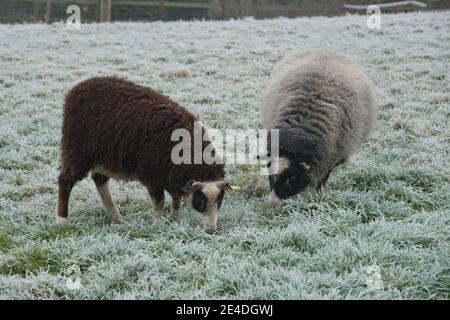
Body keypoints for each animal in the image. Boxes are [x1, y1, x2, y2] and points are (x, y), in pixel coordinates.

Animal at [57, 77, 230, 232]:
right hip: (77, 152)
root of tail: (78, 88)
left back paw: (116, 216)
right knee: (65, 181)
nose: (211, 230)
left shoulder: (170, 176)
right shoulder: (153, 176)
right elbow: (160, 202)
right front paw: (156, 225)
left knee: (100, 180)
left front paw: (174, 218)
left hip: (104, 158)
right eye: (200, 201)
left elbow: (175, 200)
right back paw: (62, 220)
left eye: (220, 200)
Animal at [262, 48, 378, 206]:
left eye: (292, 178)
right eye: (270, 174)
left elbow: (323, 177)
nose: (272, 203)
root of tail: (327, 49)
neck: (300, 129)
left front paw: (319, 192)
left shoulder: (333, 156)